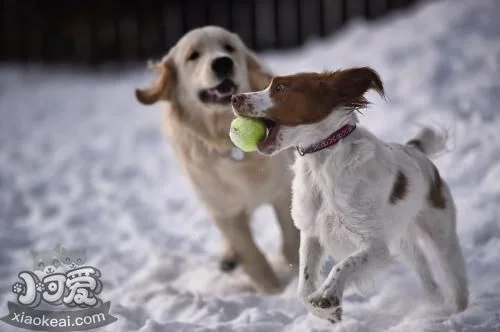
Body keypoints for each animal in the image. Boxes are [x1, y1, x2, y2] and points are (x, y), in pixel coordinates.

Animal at [134, 27, 300, 294]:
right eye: (193, 56)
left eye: (229, 48)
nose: (223, 62)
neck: (227, 145)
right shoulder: (221, 208)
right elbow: (249, 252)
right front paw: (272, 291)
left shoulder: (282, 190)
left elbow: (291, 239)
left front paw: (294, 276)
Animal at [231, 67, 468, 322]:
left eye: (280, 87)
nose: (234, 98)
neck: (321, 161)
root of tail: (417, 151)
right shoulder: (312, 233)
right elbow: (303, 286)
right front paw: (327, 312)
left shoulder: (375, 246)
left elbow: (345, 263)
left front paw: (328, 295)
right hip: (403, 239)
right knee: (424, 273)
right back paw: (433, 305)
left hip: (440, 231)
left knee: (453, 273)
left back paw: (459, 311)